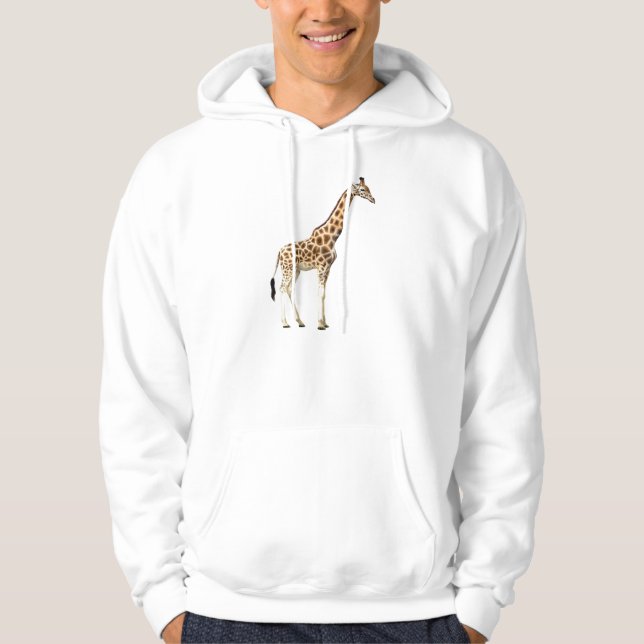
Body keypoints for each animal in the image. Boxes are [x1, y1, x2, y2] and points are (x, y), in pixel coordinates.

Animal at [270, 177, 376, 330]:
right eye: (362, 189)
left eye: (368, 188)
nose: (373, 199)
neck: (332, 238)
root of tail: (279, 251)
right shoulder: (321, 267)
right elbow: (320, 293)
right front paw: (320, 324)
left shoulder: (328, 268)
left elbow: (324, 294)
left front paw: (325, 323)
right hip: (287, 269)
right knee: (282, 288)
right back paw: (285, 323)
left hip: (296, 270)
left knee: (289, 289)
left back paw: (300, 321)